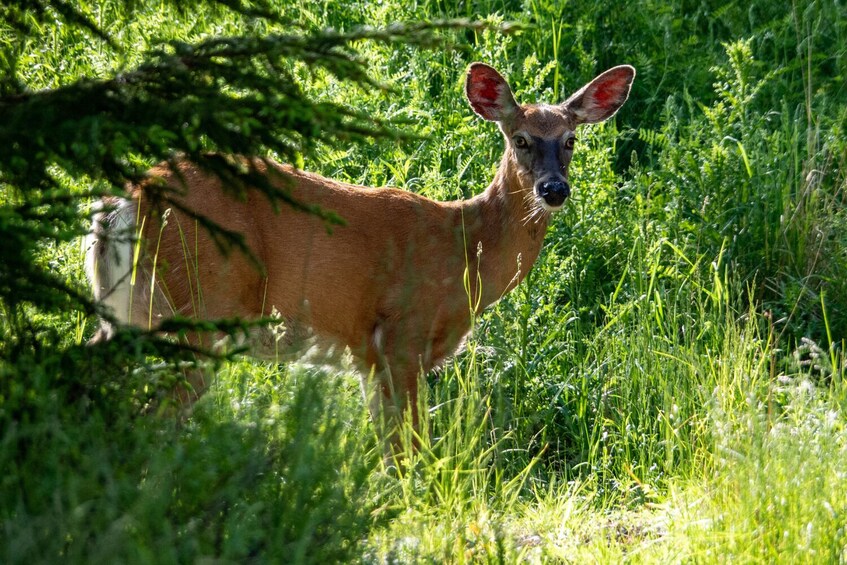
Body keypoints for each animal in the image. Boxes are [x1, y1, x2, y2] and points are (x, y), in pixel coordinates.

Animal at [86, 62, 636, 458]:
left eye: (570, 141)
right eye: (519, 139)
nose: (554, 190)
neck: (466, 254)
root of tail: (134, 195)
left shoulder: (369, 358)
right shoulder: (402, 334)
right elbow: (411, 449)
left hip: (128, 309)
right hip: (201, 307)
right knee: (146, 417)